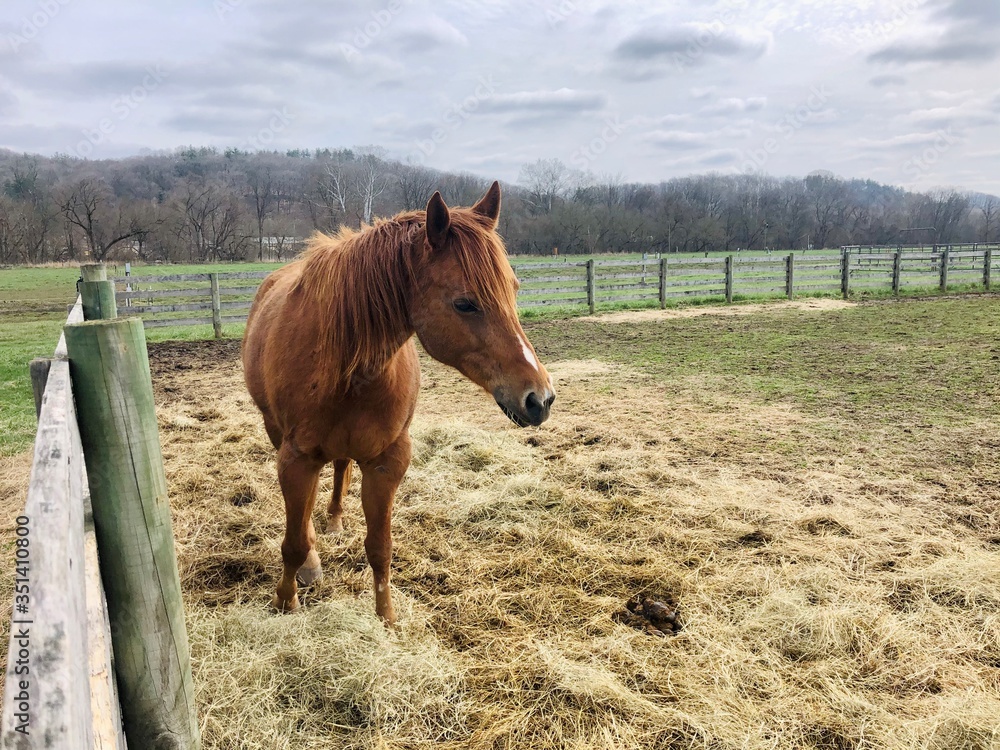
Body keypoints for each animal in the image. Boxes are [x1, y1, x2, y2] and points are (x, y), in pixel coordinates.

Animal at [242, 182, 555, 623]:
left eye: (514, 289)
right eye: (464, 303)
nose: (540, 398)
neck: (345, 365)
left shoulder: (388, 462)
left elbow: (380, 548)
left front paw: (387, 619)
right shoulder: (296, 459)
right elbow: (294, 542)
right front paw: (286, 602)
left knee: (340, 468)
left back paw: (335, 520)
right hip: (276, 434)